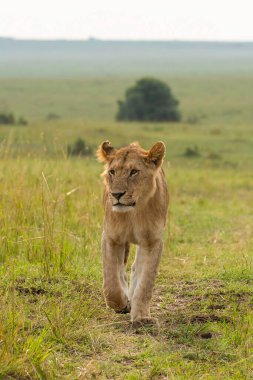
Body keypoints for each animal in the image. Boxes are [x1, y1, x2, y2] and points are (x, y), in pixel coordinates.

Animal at [98, 141, 169, 326]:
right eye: (112, 172)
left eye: (134, 172)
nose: (116, 194)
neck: (133, 213)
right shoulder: (111, 237)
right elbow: (111, 282)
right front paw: (121, 304)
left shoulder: (152, 241)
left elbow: (145, 283)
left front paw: (142, 317)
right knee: (120, 270)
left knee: (135, 268)